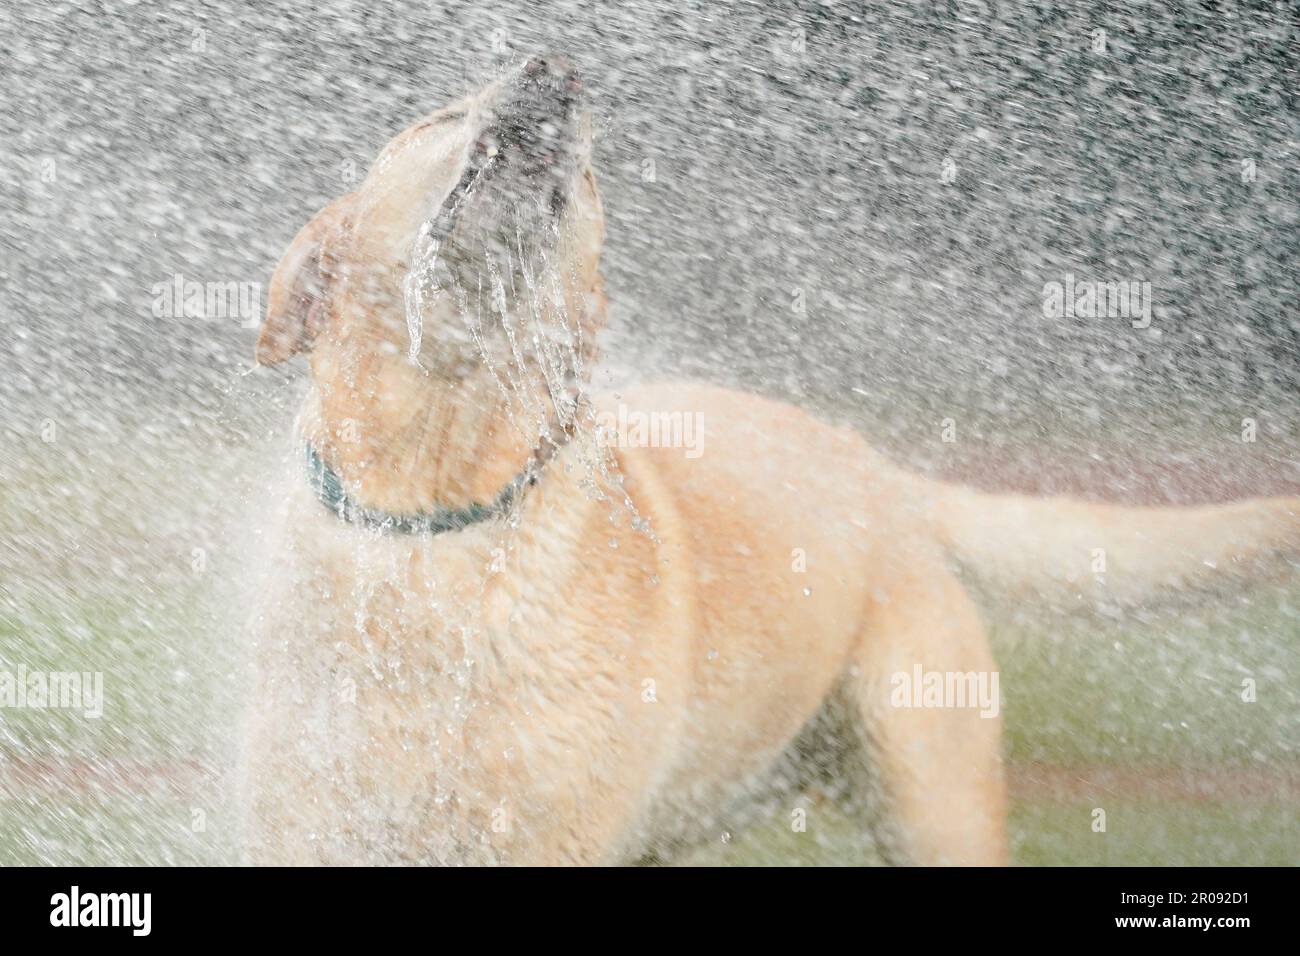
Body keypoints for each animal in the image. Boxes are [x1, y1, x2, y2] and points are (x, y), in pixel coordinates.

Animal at [241, 57, 1300, 868]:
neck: (432, 492)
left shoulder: (553, 836)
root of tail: (874, 469)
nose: (556, 70)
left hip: (933, 796)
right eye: (437, 119)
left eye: (593, 185)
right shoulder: (310, 823)